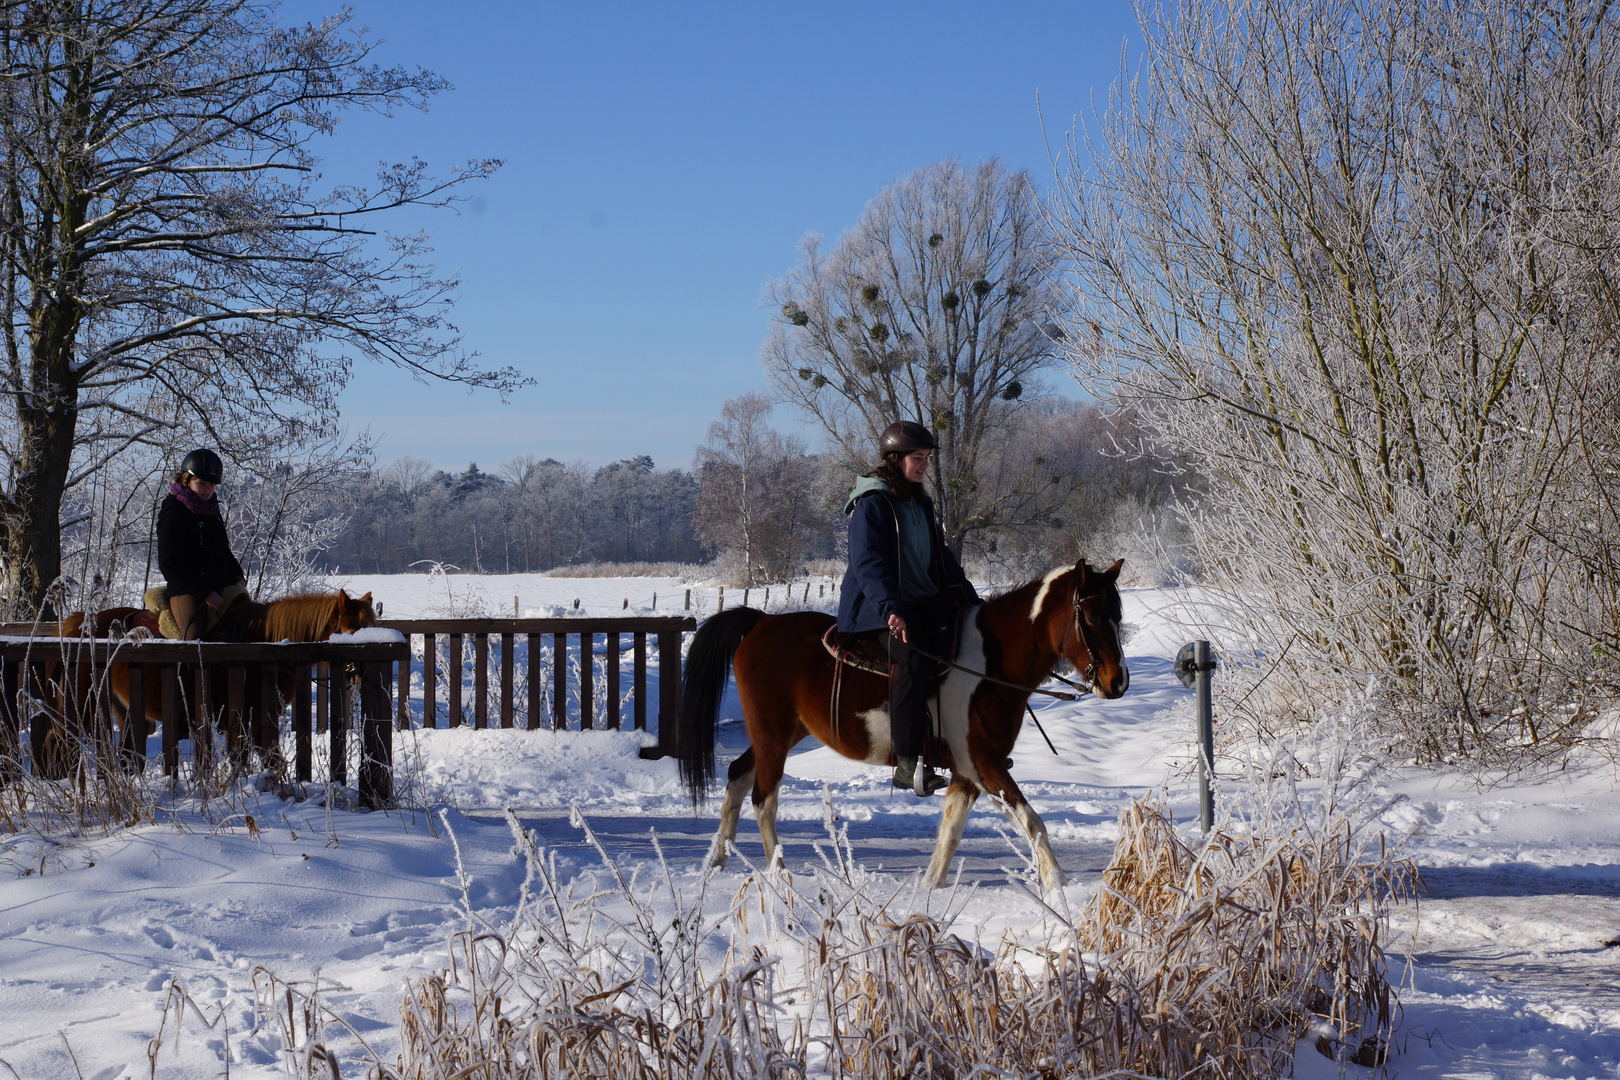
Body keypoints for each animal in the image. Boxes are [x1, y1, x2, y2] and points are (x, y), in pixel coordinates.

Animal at [42, 592, 377, 777]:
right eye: (350, 629)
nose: (362, 672)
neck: (264, 645)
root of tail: (76, 624)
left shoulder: (256, 723)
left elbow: (270, 763)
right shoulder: (244, 722)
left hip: (125, 711)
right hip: (80, 706)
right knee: (59, 741)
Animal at [680, 557, 1127, 887]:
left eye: (1117, 615)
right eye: (1090, 616)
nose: (1117, 681)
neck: (989, 664)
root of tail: (760, 621)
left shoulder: (968, 771)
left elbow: (951, 832)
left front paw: (930, 887)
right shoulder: (985, 764)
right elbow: (1032, 822)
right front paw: (1058, 883)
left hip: (783, 732)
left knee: (738, 776)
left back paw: (718, 860)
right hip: (773, 735)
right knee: (763, 799)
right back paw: (779, 873)